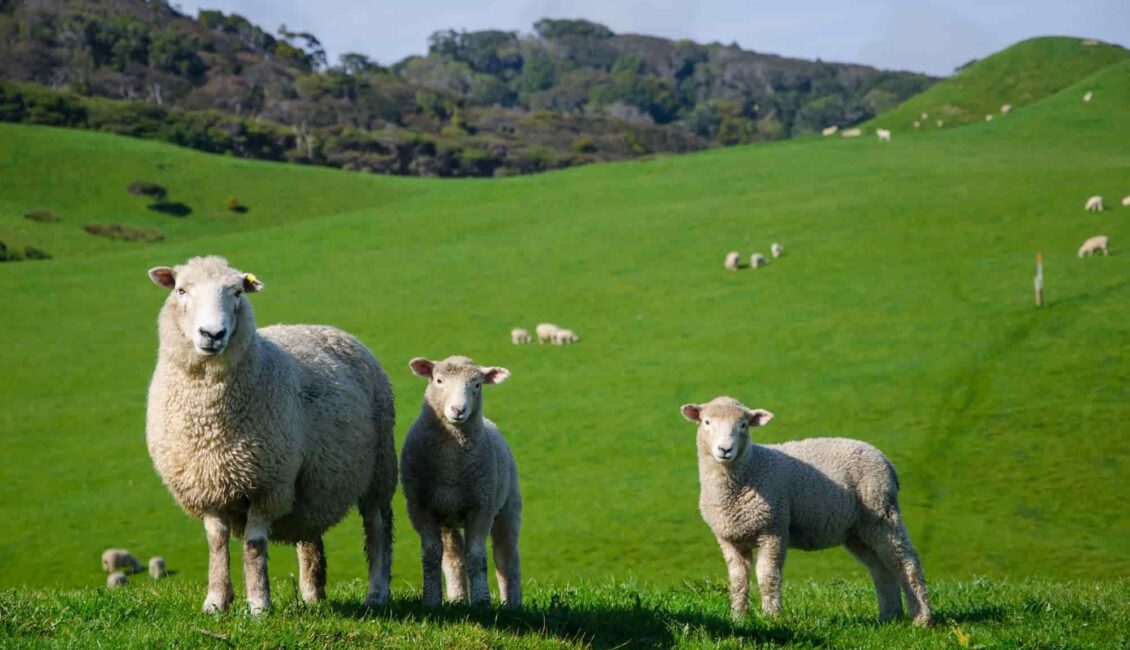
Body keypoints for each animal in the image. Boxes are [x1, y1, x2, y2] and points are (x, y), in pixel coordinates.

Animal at [144, 255, 397, 614]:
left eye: (237, 292)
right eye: (181, 290)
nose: (212, 334)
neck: (209, 421)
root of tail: (327, 328)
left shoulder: (267, 484)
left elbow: (254, 545)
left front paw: (259, 604)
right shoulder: (206, 485)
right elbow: (217, 544)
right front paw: (216, 601)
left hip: (380, 469)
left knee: (377, 528)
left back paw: (376, 593)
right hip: (313, 484)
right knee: (311, 536)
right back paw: (312, 595)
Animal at [402, 357, 519, 610]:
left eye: (477, 385)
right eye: (438, 380)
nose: (458, 410)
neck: (451, 465)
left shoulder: (481, 508)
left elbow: (476, 556)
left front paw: (482, 602)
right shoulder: (420, 508)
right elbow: (432, 554)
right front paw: (431, 600)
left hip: (508, 505)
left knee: (506, 556)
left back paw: (513, 603)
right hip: (448, 518)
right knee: (453, 557)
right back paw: (457, 598)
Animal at [678, 400, 935, 628]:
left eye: (743, 425)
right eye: (707, 422)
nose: (725, 450)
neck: (749, 469)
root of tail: (885, 460)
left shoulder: (773, 530)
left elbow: (767, 576)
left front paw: (772, 617)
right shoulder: (729, 538)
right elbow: (738, 580)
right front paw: (738, 619)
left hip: (882, 514)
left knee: (906, 563)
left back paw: (921, 619)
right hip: (858, 530)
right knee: (881, 568)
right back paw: (889, 617)